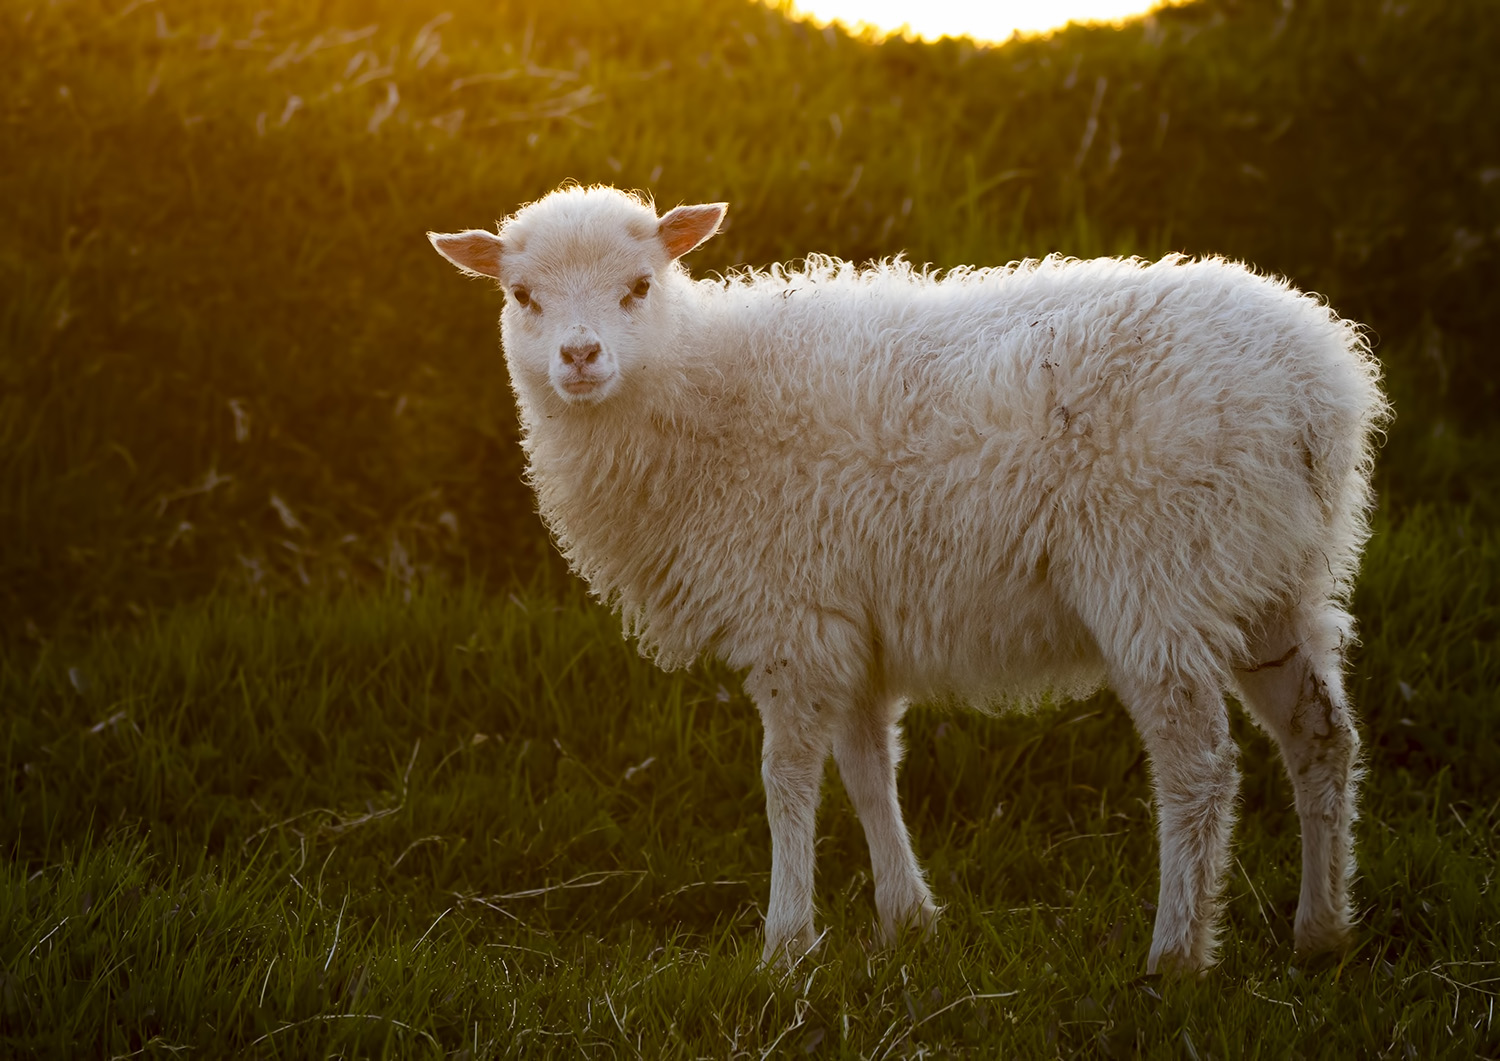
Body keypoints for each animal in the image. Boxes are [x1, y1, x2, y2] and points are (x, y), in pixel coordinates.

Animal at [429, 182, 1386, 972]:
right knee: (1321, 734)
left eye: (638, 286)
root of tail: (1317, 387)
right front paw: (907, 919)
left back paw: (1177, 956)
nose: (580, 356)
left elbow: (786, 775)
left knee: (1199, 766)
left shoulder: (796, 610)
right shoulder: (854, 618)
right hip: (1271, 577)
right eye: (522, 296)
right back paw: (1321, 931)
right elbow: (866, 770)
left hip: (1158, 575)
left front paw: (785, 941)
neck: (702, 393)